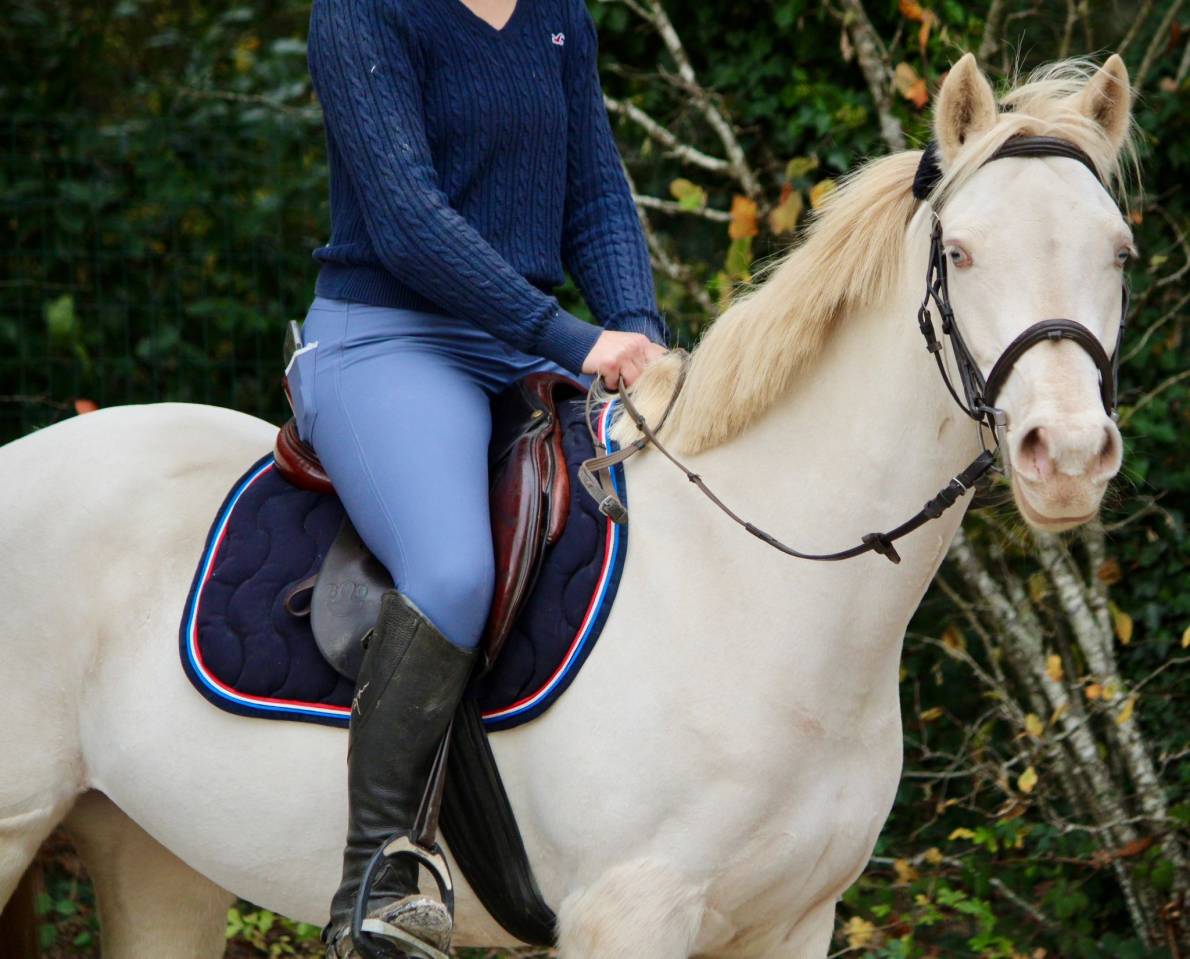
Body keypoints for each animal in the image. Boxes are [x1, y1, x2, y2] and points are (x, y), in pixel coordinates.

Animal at [0, 54, 1136, 958]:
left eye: (1119, 252)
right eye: (961, 253)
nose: (1068, 455)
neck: (753, 584)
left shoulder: (789, 924)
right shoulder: (629, 914)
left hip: (152, 855)